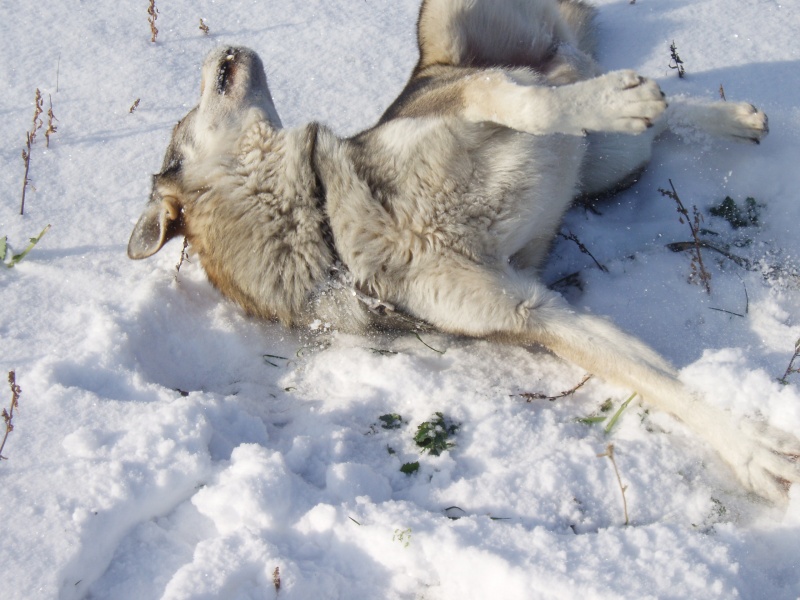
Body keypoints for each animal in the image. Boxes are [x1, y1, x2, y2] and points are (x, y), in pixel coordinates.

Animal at [128, 0, 796, 502]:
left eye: (179, 122)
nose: (223, 48)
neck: (329, 230)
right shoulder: (534, 313)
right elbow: (658, 382)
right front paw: (754, 452)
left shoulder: (478, 99)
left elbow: (533, 104)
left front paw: (620, 99)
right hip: (611, 160)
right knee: (650, 122)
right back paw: (728, 117)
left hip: (476, 52)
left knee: (578, 87)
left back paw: (668, 101)